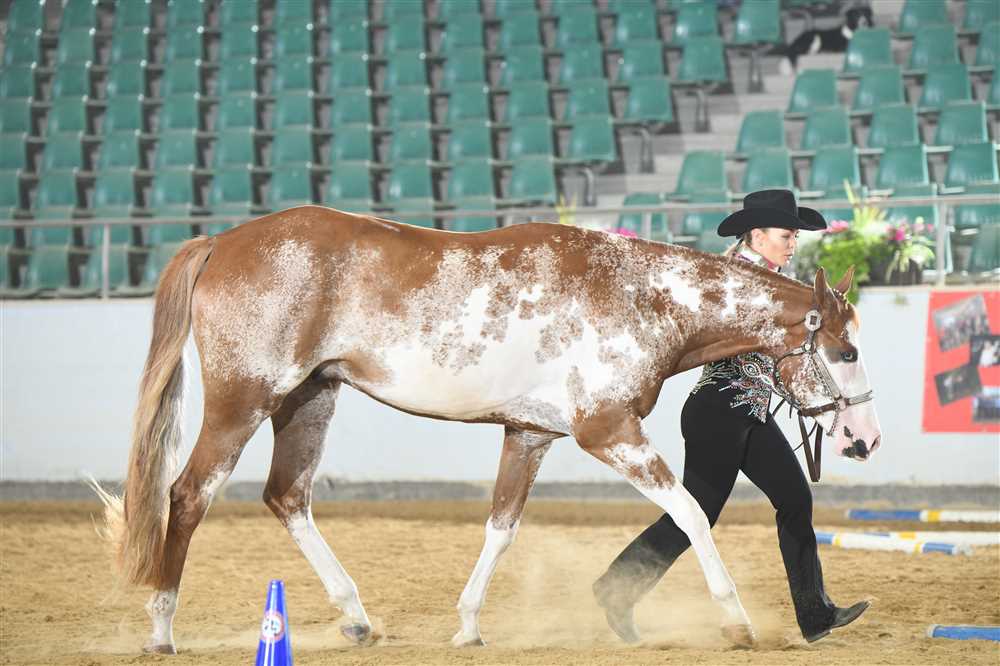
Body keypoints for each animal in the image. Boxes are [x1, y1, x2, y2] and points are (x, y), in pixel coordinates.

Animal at [91, 205, 882, 654]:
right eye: (845, 351)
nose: (865, 441)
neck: (636, 294)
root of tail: (222, 241)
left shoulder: (529, 435)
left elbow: (501, 529)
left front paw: (469, 625)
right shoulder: (604, 430)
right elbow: (690, 512)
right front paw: (737, 622)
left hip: (308, 400)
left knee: (287, 497)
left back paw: (357, 620)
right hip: (243, 401)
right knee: (187, 496)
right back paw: (161, 629)